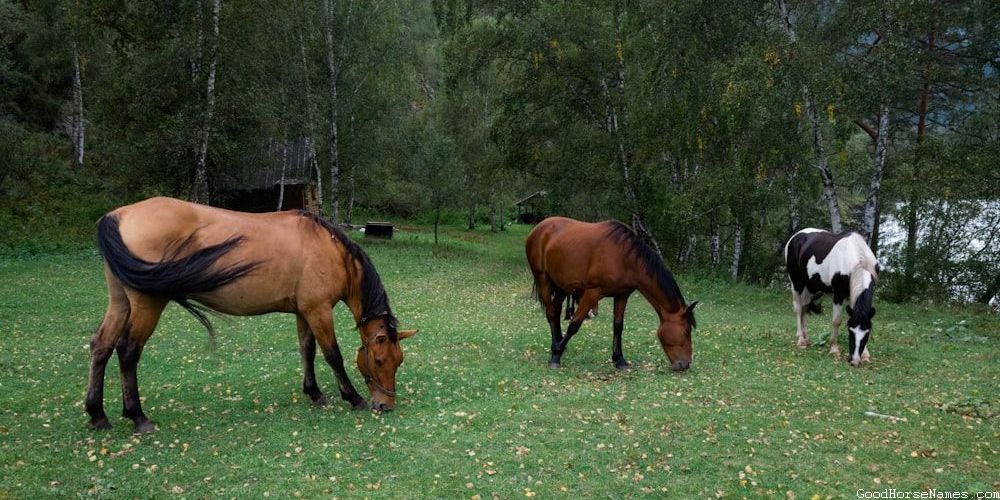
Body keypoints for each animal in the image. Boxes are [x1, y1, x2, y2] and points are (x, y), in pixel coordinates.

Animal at [88, 197, 417, 434]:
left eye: (399, 361)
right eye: (379, 360)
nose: (385, 405)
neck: (330, 249)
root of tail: (117, 215)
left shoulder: (304, 311)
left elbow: (307, 351)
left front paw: (314, 393)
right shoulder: (319, 310)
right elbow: (332, 355)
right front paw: (353, 397)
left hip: (120, 302)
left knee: (101, 346)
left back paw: (97, 415)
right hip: (147, 305)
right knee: (128, 351)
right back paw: (138, 417)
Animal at [525, 217, 697, 371]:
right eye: (686, 331)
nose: (685, 364)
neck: (624, 257)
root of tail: (540, 227)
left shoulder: (622, 296)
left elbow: (618, 327)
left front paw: (619, 360)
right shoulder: (592, 293)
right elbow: (574, 325)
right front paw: (556, 357)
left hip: (562, 287)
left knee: (556, 311)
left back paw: (557, 343)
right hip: (543, 279)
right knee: (551, 313)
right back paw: (556, 348)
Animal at [784, 228, 878, 366]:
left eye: (866, 333)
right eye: (850, 330)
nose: (854, 360)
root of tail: (795, 237)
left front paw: (865, 354)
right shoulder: (838, 294)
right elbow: (837, 321)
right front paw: (834, 349)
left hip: (810, 285)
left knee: (805, 307)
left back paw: (806, 339)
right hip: (797, 283)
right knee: (798, 309)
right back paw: (800, 340)